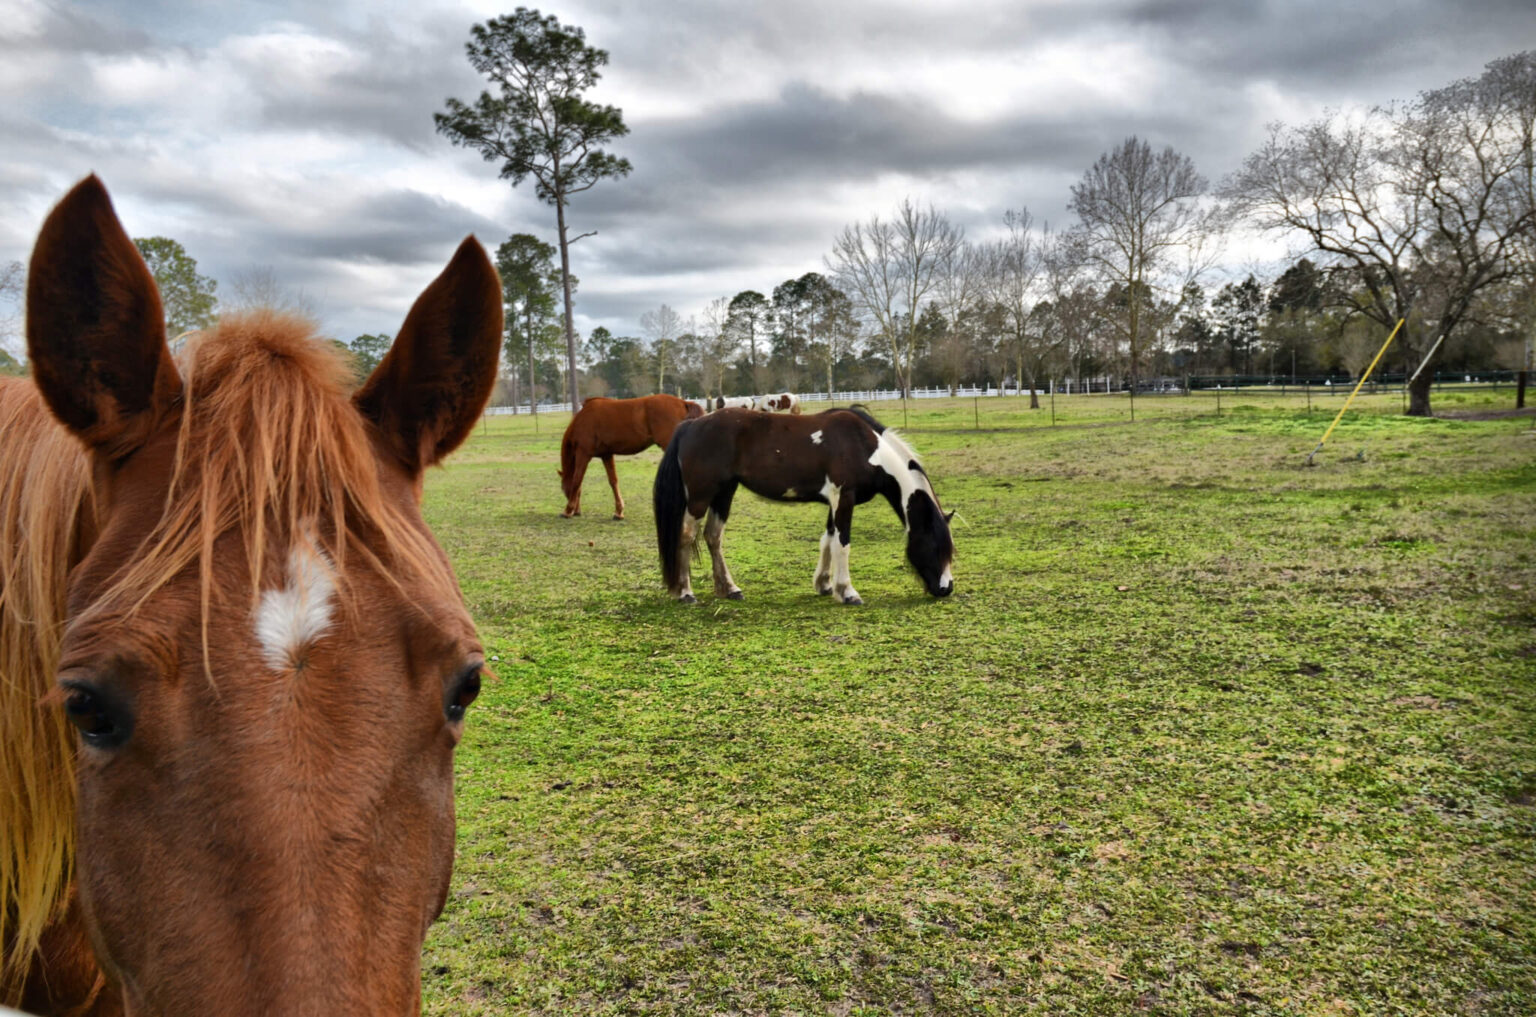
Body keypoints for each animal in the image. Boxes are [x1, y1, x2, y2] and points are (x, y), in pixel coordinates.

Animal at [558, 394, 702, 519]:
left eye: (564, 489)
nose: (576, 511)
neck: (583, 419)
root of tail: (682, 402)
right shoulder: (606, 455)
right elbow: (613, 481)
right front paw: (619, 511)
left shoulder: (583, 454)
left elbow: (577, 480)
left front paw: (567, 510)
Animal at [653, 406, 954, 604]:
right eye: (933, 545)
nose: (946, 588)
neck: (865, 448)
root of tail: (691, 425)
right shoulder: (844, 498)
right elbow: (842, 543)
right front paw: (848, 592)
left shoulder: (834, 502)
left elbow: (828, 540)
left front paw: (825, 585)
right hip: (700, 496)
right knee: (686, 535)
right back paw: (685, 592)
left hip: (724, 493)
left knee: (713, 537)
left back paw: (730, 589)